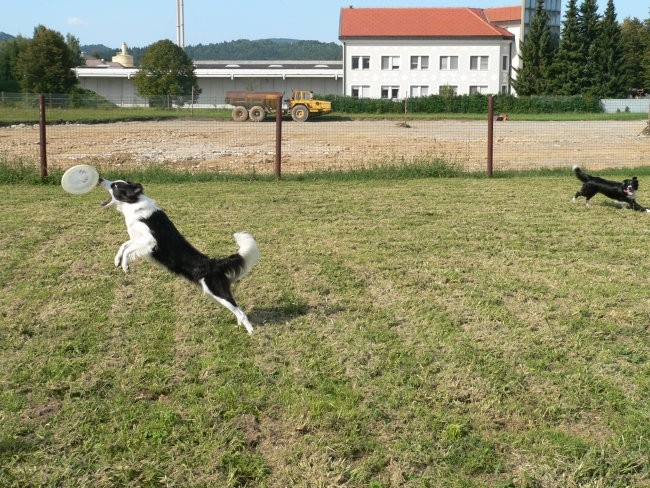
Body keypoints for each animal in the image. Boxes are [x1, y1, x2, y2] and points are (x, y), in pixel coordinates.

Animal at [98, 177, 258, 334]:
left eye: (115, 186)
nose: (100, 179)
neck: (133, 205)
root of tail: (214, 264)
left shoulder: (150, 241)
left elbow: (127, 250)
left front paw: (125, 266)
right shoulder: (137, 239)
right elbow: (124, 246)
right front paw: (117, 261)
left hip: (216, 290)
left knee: (240, 310)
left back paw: (251, 332)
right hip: (212, 294)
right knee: (237, 310)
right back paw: (240, 326)